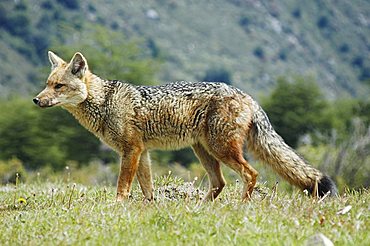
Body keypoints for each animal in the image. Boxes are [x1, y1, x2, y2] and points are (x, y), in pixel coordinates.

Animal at [34, 51, 338, 201]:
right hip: (204, 152)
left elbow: (122, 187)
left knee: (250, 175)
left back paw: (240, 207)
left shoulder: (131, 151)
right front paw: (148, 210)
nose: (36, 100)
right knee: (220, 184)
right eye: (47, 84)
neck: (105, 101)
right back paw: (201, 210)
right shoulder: (143, 153)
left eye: (58, 86)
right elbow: (147, 190)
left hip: (221, 150)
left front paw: (117, 209)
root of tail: (247, 95)